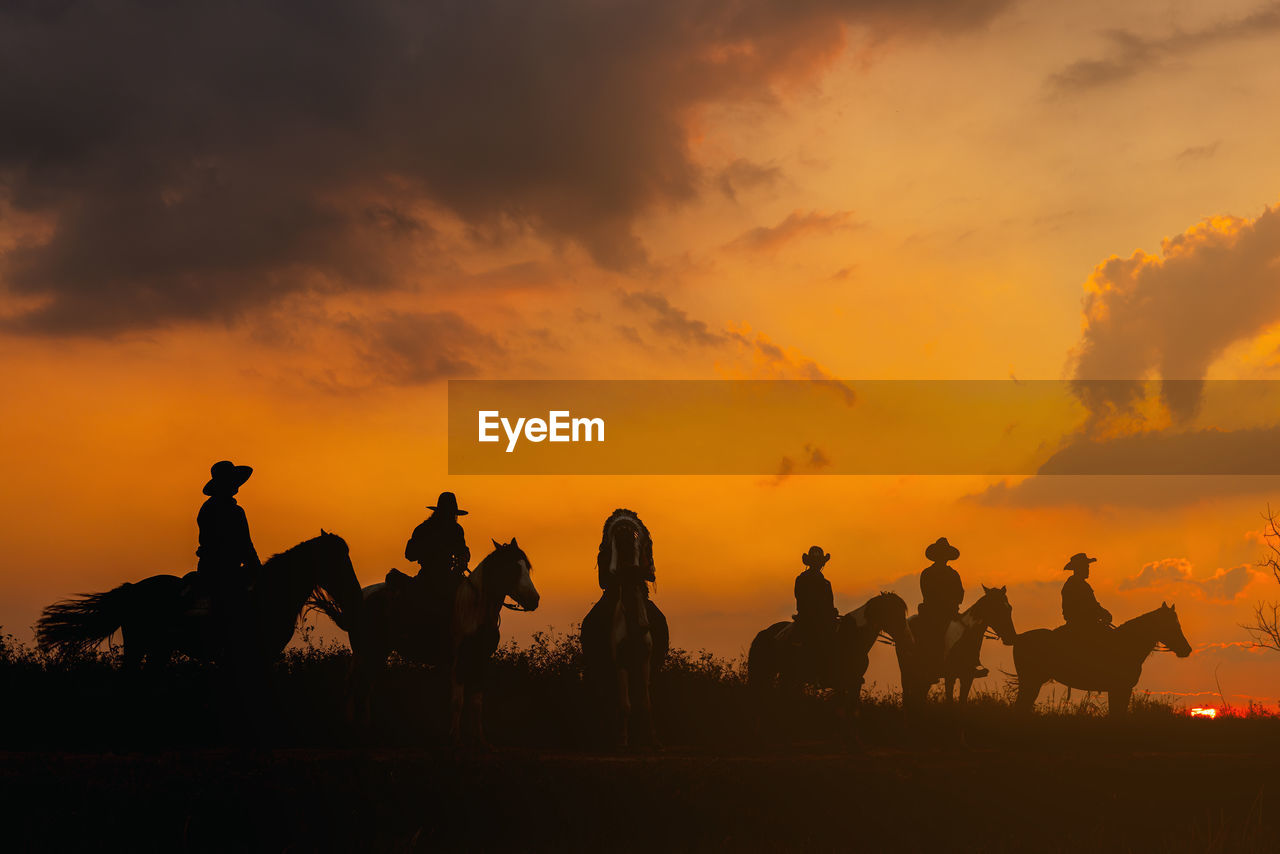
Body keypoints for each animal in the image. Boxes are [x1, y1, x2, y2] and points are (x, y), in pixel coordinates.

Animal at [36, 535, 360, 665]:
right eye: (338, 561)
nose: (355, 592)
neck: (269, 594)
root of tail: (133, 589)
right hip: (138, 645)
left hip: (159, 648)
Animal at [322, 540, 542, 747]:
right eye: (512, 567)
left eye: (527, 567)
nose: (534, 599)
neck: (475, 609)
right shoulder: (459, 661)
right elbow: (457, 701)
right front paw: (455, 740)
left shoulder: (480, 661)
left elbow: (477, 703)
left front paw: (481, 741)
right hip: (368, 650)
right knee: (358, 684)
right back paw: (357, 730)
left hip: (375, 652)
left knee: (363, 684)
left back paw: (362, 728)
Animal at [1013, 604, 1192, 717]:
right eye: (1173, 625)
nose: (1187, 649)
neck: (1127, 644)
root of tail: (1018, 637)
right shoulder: (1120, 688)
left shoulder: (1119, 689)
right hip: (1031, 682)